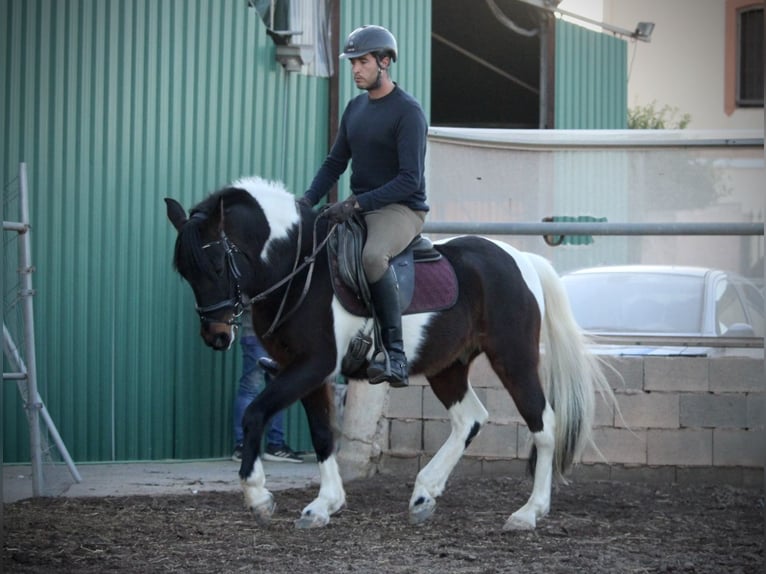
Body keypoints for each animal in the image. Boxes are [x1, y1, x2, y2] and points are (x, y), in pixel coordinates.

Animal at [165, 176, 616, 532]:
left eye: (217, 266)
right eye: (185, 272)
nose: (216, 335)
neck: (299, 270)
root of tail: (520, 258)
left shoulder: (312, 365)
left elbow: (255, 413)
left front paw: (258, 496)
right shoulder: (304, 371)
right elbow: (322, 433)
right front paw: (324, 505)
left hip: (514, 358)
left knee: (544, 425)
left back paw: (528, 513)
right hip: (447, 366)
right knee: (470, 418)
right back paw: (424, 493)